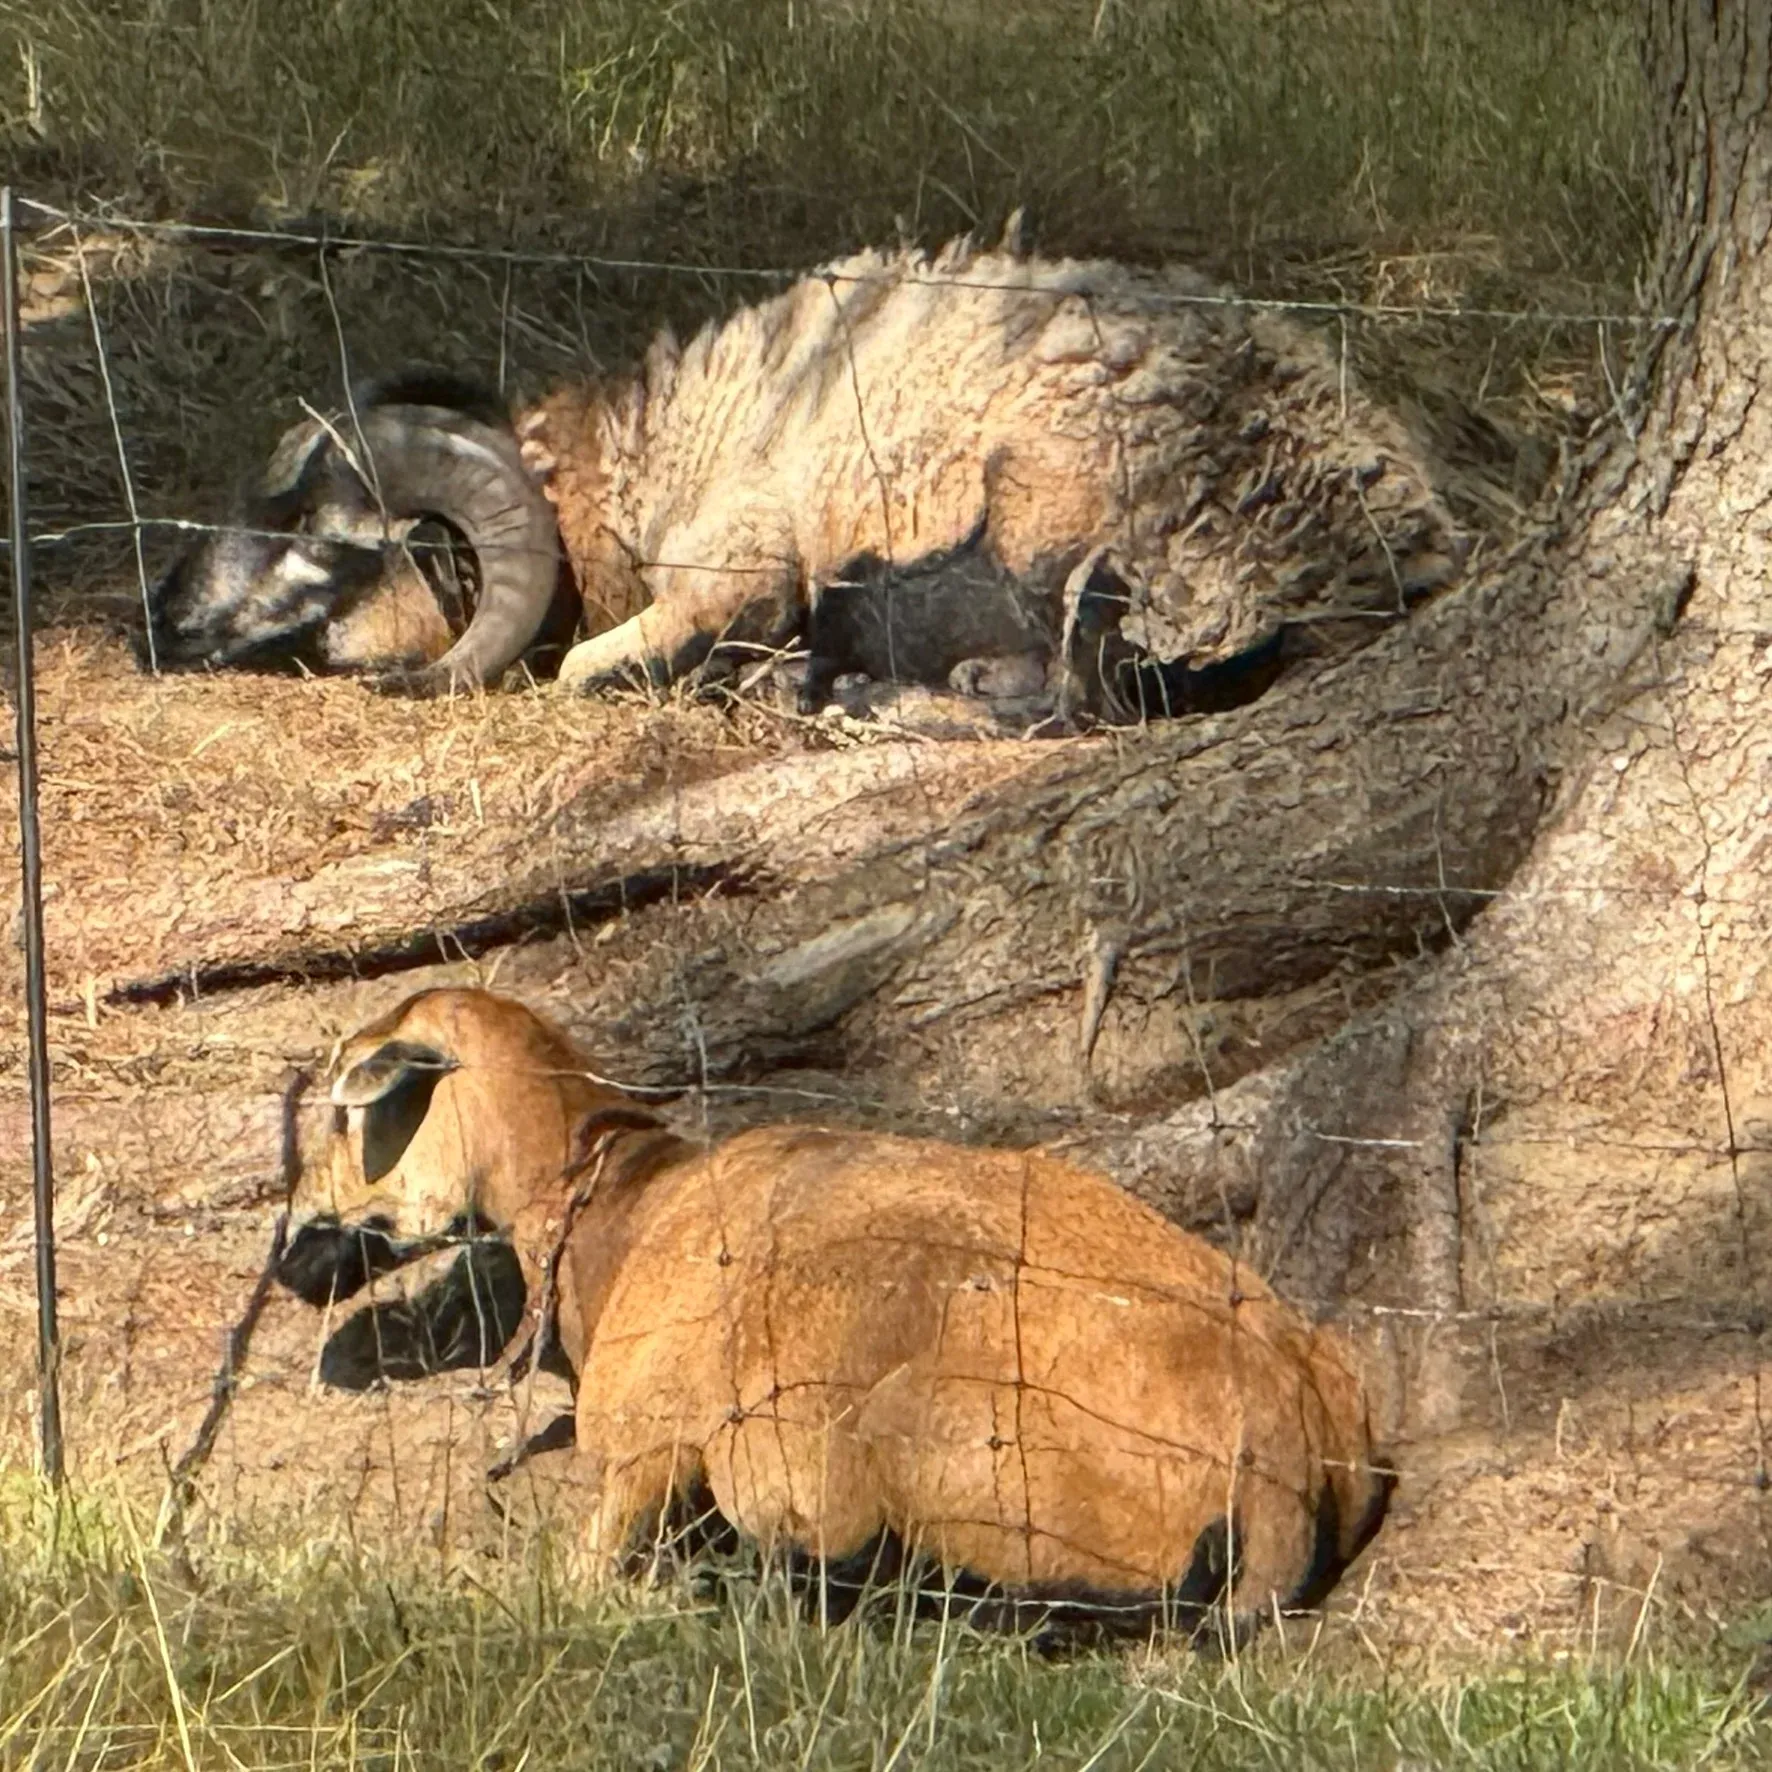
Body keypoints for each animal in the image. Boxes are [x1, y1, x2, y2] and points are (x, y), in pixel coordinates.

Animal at [151, 233, 1463, 717]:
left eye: (329, 536)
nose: (156, 620)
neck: (658, 457)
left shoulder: (742, 567)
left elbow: (583, 668)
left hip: (1064, 528)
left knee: (1072, 692)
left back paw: (867, 693)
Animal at [277, 986, 1393, 1642]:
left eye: (347, 1110)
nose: (290, 1260)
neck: (620, 1205)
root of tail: (1291, 1452)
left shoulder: (643, 1453)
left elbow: (585, 1571)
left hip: (930, 1450)